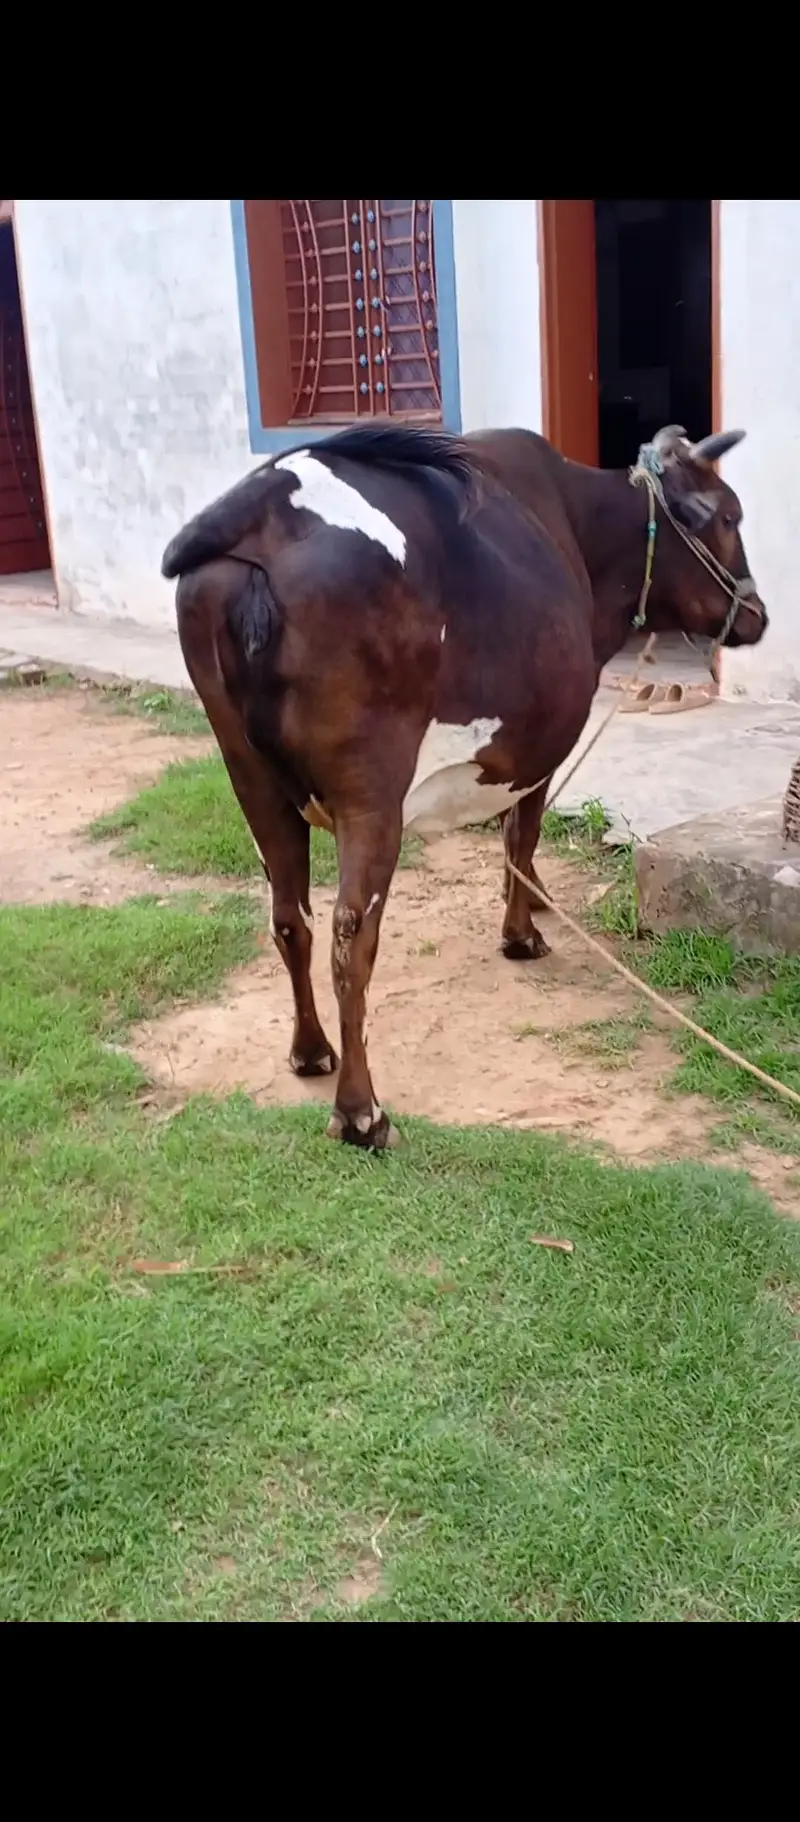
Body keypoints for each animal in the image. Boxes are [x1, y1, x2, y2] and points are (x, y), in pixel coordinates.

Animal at [161, 419, 767, 1151]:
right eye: (729, 516)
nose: (758, 613)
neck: (582, 523)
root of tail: (257, 509)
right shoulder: (541, 745)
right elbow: (521, 835)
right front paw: (522, 931)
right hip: (372, 794)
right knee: (350, 936)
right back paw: (362, 1112)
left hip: (250, 780)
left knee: (289, 919)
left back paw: (310, 1052)